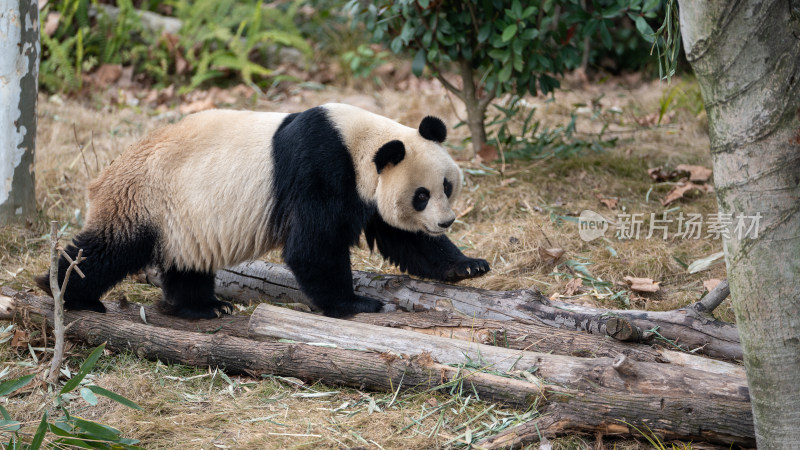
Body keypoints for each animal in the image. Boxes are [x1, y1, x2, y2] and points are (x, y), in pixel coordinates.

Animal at [36, 103, 488, 318]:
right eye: (421, 195)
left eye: (446, 186)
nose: (446, 220)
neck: (358, 141)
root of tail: (106, 174)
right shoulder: (321, 167)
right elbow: (313, 248)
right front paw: (354, 304)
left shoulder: (368, 188)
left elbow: (404, 239)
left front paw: (467, 265)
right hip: (145, 198)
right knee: (109, 249)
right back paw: (64, 291)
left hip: (183, 217)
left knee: (187, 263)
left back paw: (204, 307)